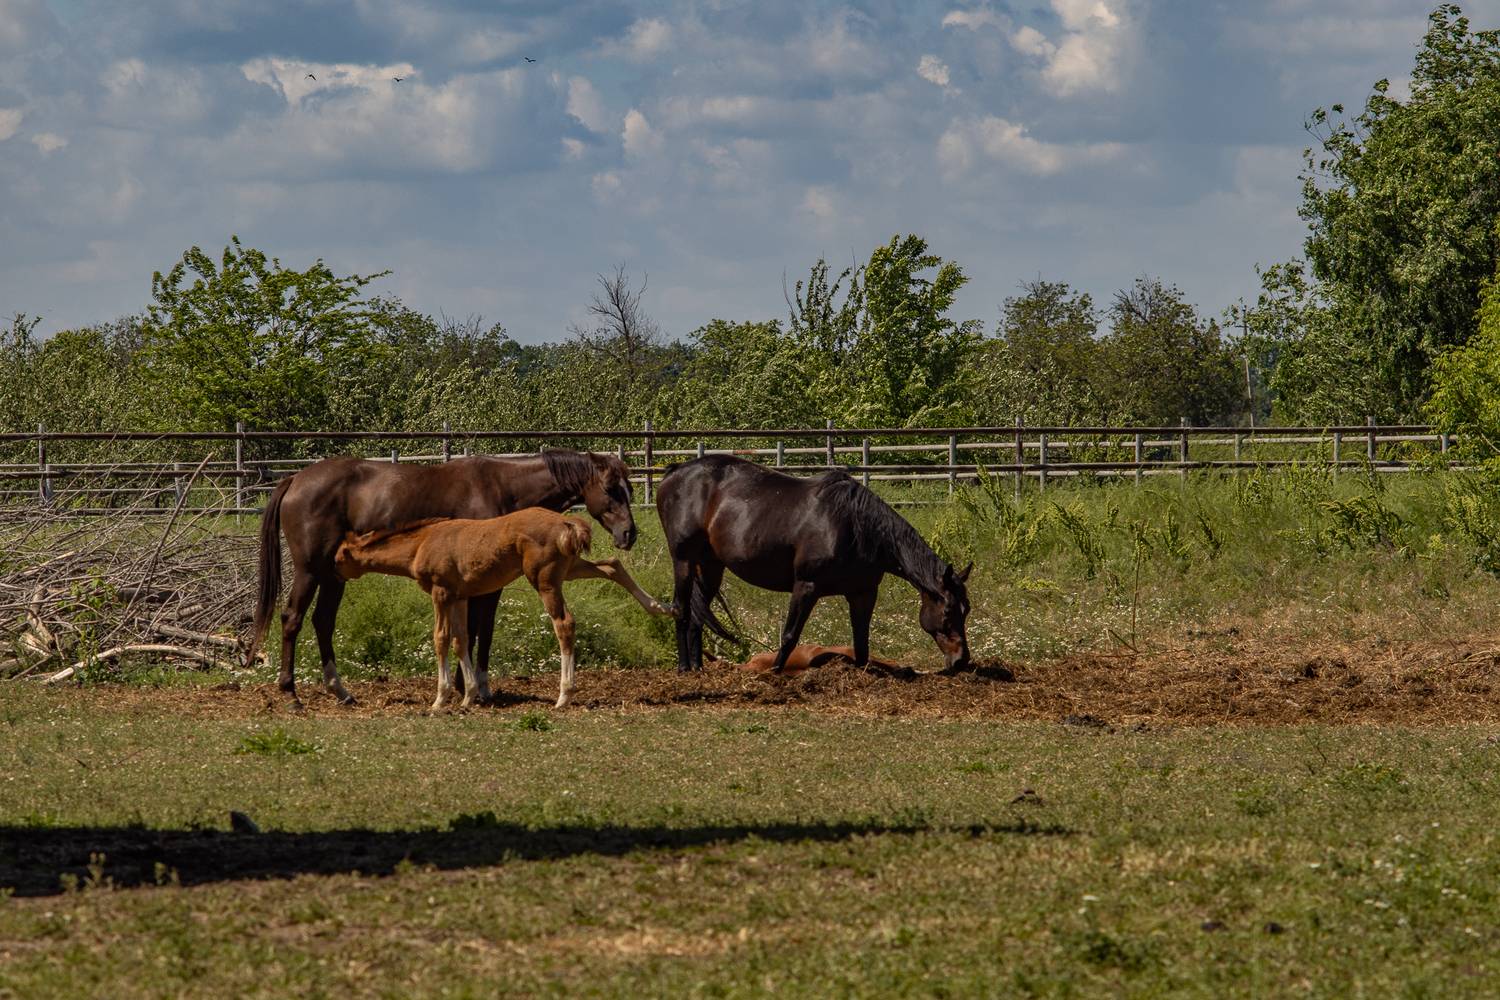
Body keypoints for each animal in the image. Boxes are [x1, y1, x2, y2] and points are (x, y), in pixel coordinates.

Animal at [244, 450, 637, 707]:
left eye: (629, 490)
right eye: (611, 489)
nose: (629, 534)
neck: (502, 488)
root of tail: (296, 479)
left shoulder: (480, 585)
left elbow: (479, 633)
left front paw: (475, 688)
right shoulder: (478, 586)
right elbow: (477, 633)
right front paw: (470, 688)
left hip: (334, 576)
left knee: (323, 622)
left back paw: (341, 692)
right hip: (310, 571)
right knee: (292, 619)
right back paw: (290, 693)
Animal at [333, 509, 671, 710]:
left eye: (339, 557)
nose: (334, 575)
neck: (421, 544)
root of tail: (569, 523)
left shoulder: (441, 593)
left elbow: (440, 639)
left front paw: (440, 699)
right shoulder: (459, 597)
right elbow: (461, 640)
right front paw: (468, 696)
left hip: (544, 580)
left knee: (565, 623)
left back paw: (564, 695)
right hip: (570, 568)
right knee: (612, 565)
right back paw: (662, 607)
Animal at [656, 454, 972, 674]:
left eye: (966, 610)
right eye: (947, 611)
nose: (961, 661)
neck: (855, 527)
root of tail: (676, 472)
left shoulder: (863, 594)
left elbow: (862, 644)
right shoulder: (806, 587)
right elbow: (789, 635)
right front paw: (775, 672)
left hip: (710, 566)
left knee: (698, 614)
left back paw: (697, 668)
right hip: (683, 560)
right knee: (681, 609)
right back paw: (683, 668)